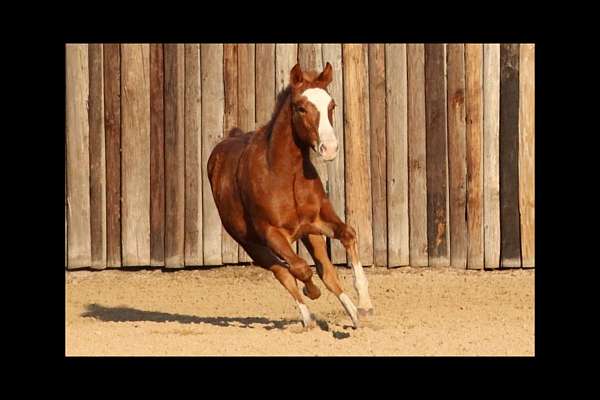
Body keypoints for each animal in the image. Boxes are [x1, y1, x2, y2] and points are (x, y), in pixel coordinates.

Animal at [209, 60, 372, 328]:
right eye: (301, 108)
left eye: (332, 106)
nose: (330, 149)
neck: (285, 175)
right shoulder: (272, 233)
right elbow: (299, 269)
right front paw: (311, 292)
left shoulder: (317, 220)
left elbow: (347, 236)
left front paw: (365, 304)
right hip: (251, 244)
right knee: (283, 271)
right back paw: (308, 318)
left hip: (309, 234)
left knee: (326, 271)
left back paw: (355, 316)